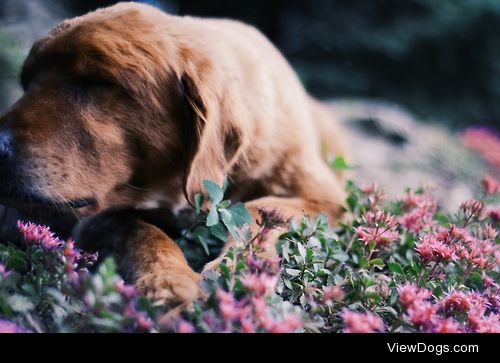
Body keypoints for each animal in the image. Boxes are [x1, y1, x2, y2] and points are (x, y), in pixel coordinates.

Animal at [0, 2, 346, 308]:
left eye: (98, 81)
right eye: (27, 83)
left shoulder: (330, 199)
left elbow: (266, 208)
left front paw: (241, 264)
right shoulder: (97, 217)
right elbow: (141, 232)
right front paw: (169, 282)